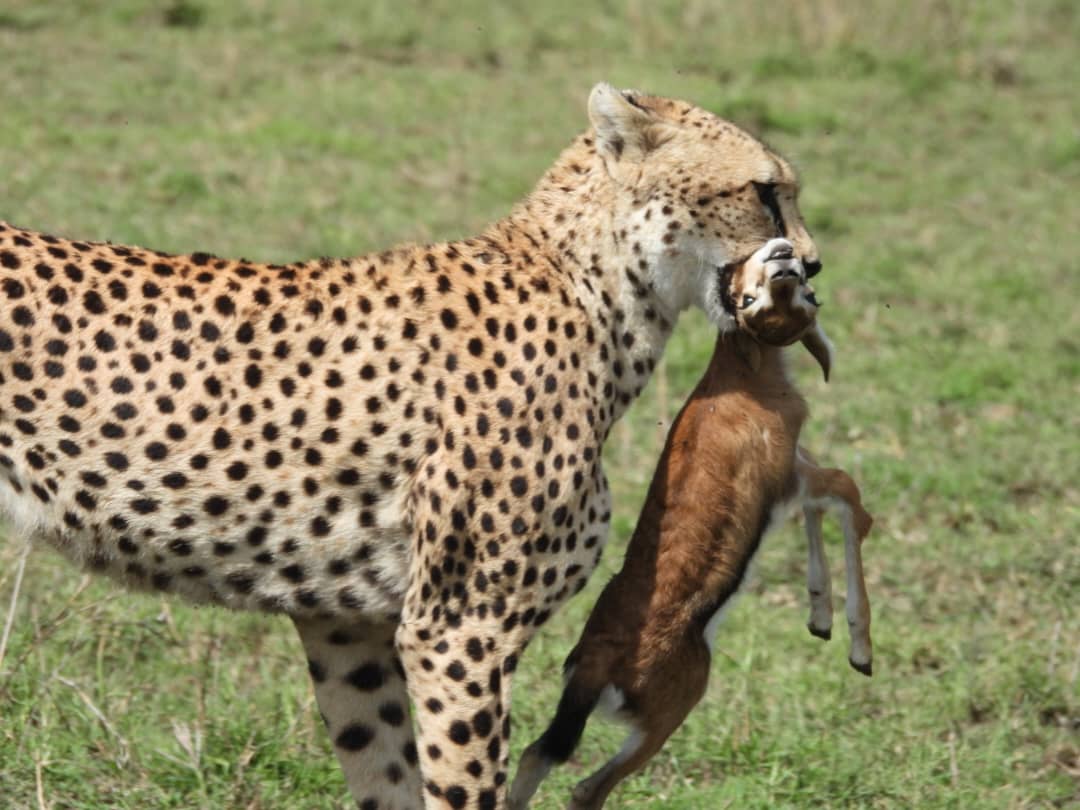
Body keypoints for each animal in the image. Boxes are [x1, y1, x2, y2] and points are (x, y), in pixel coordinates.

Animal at [0, 85, 820, 807]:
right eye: (764, 191)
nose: (810, 264)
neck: (598, 291)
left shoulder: (351, 623)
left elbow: (390, 771)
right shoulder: (461, 627)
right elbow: (462, 783)